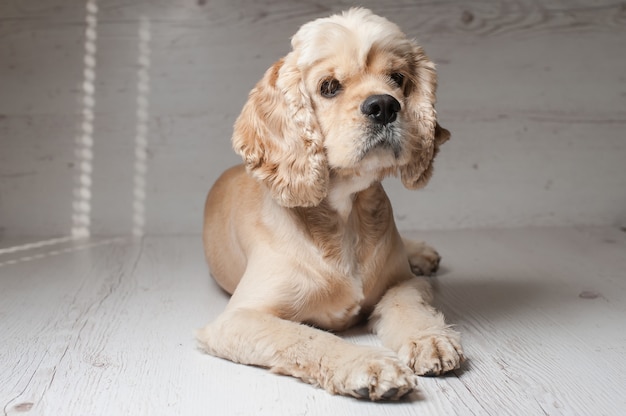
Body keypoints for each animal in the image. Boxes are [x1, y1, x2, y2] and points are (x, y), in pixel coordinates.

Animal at [196, 8, 464, 402]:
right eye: (329, 87)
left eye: (397, 78)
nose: (385, 105)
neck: (346, 217)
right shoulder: (240, 319)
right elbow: (304, 337)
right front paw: (368, 365)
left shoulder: (404, 282)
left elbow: (408, 306)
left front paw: (428, 340)